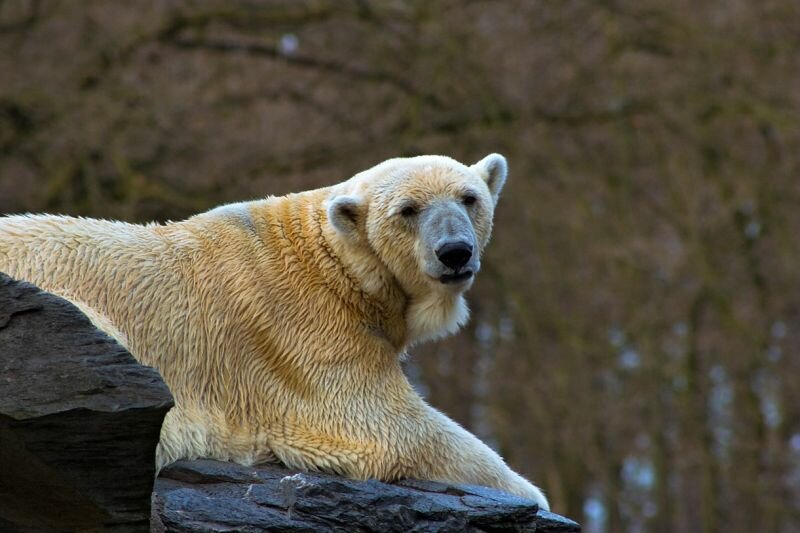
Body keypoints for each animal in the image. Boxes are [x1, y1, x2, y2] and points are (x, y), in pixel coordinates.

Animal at [0, 153, 548, 508]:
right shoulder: (302, 333)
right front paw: (533, 495)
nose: (454, 252)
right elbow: (389, 427)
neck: (332, 262)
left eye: (469, 197)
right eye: (407, 210)